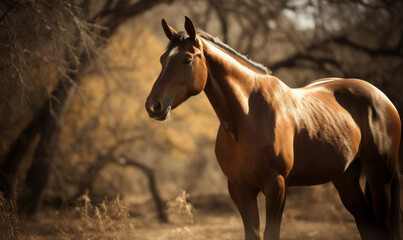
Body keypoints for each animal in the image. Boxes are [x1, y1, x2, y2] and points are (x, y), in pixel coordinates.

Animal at [145, 17, 400, 240]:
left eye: (187, 60)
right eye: (162, 60)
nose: (153, 105)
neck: (247, 118)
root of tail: (382, 97)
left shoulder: (276, 185)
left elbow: (271, 233)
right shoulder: (240, 189)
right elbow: (252, 233)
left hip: (379, 177)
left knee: (382, 224)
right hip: (345, 178)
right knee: (366, 223)